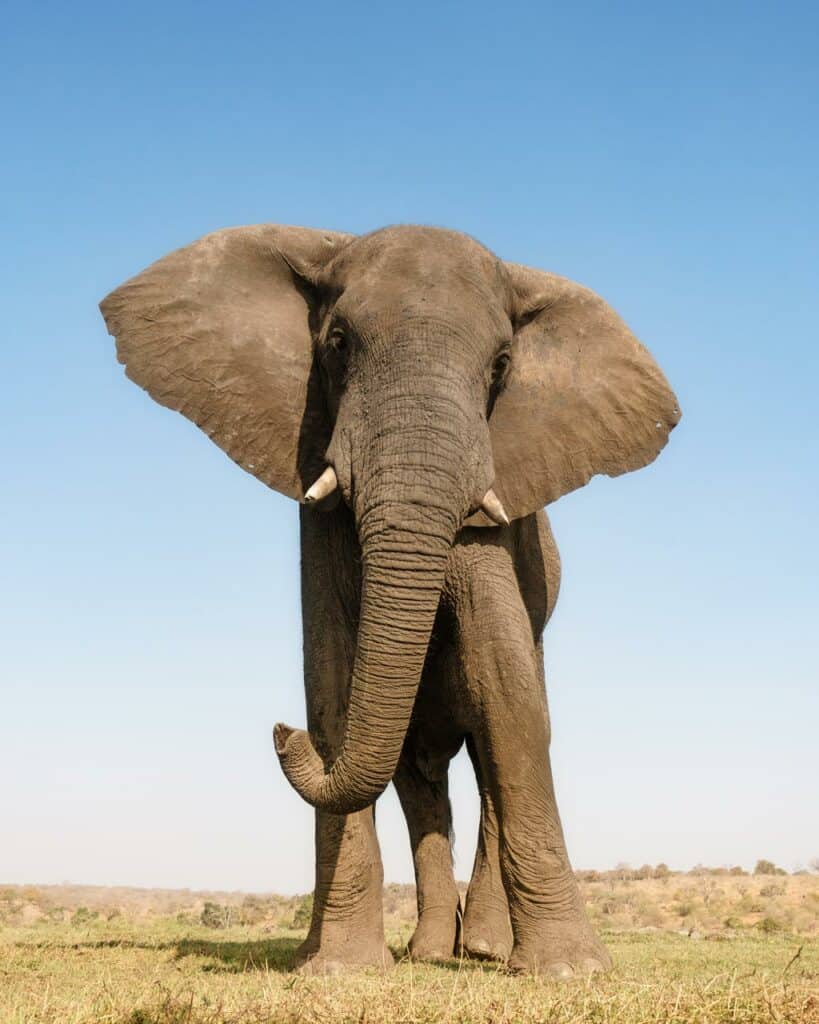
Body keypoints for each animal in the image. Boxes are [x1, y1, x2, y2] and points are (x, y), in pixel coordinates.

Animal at [100, 223, 680, 976]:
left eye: (501, 365)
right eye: (339, 341)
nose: (279, 732)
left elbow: (508, 691)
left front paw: (569, 971)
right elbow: (329, 673)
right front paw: (339, 968)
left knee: (496, 743)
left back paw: (482, 950)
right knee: (418, 779)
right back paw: (427, 953)